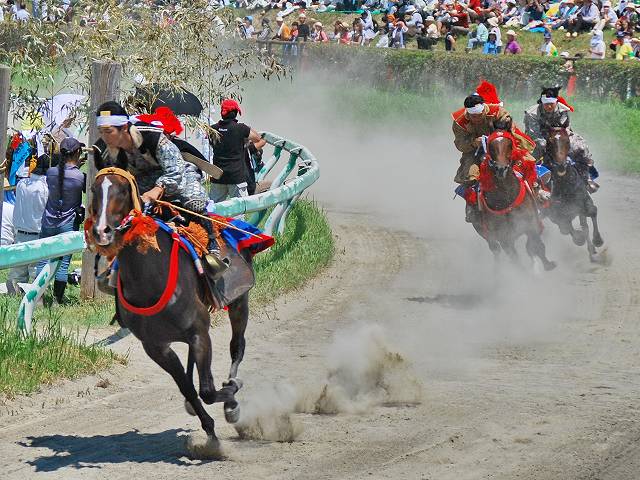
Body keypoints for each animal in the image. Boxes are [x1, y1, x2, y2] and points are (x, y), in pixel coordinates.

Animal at [87, 168, 252, 456]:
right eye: (95, 190)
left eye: (122, 191)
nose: (102, 231)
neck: (150, 277)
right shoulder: (156, 346)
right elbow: (188, 388)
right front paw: (210, 434)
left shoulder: (198, 332)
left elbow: (207, 390)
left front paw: (231, 398)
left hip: (239, 300)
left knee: (237, 347)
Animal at [474, 127, 557, 271]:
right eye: (491, 147)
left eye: (509, 145)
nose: (501, 169)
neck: (506, 199)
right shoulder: (504, 238)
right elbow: (515, 259)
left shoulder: (530, 224)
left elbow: (537, 246)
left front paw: (547, 265)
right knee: (497, 251)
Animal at [545, 127, 603, 261]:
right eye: (549, 143)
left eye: (567, 141)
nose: (561, 165)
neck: (565, 185)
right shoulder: (557, 215)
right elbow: (568, 229)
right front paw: (580, 239)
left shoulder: (583, 201)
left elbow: (592, 211)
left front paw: (597, 240)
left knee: (584, 224)